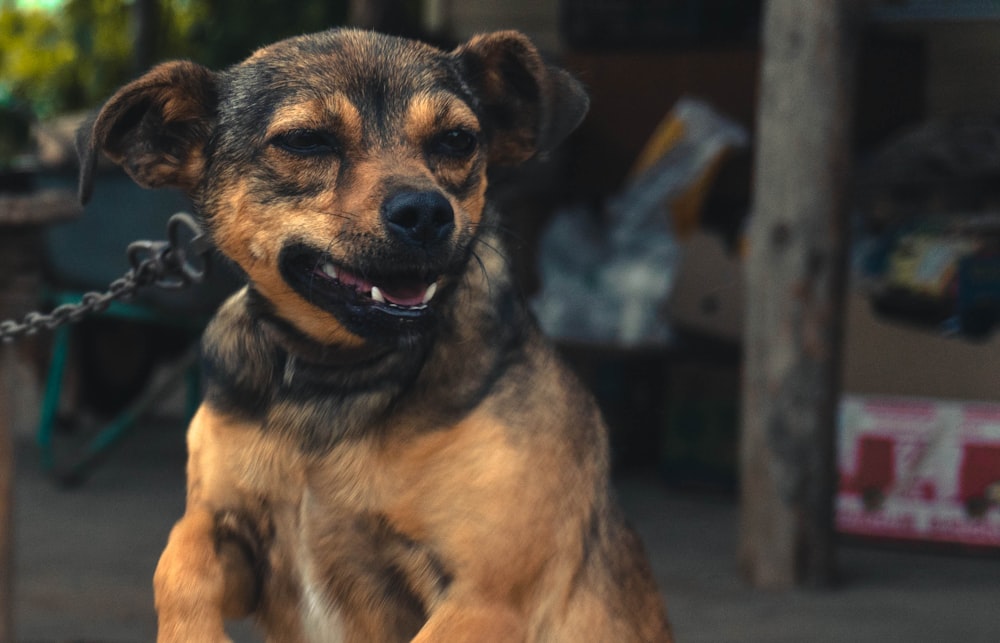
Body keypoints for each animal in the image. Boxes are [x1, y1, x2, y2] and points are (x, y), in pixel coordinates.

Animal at [78, 27, 672, 640]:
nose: (427, 213)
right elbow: (179, 555)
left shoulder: (485, 599)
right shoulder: (235, 533)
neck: (334, 378)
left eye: (457, 140)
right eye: (306, 142)